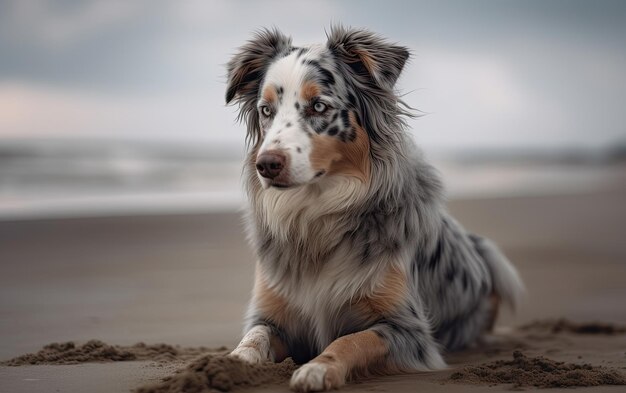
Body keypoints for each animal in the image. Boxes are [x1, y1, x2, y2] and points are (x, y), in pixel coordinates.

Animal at [224, 26, 520, 390]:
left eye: (319, 106)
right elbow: (254, 336)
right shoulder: (271, 314)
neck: (316, 214)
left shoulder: (407, 328)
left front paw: (318, 368)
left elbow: (351, 340)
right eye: (266, 110)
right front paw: (231, 363)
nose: (266, 165)